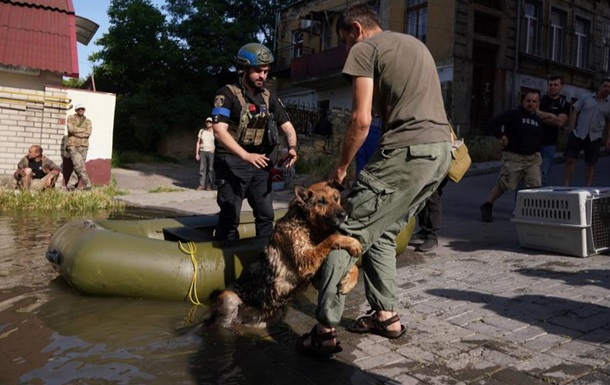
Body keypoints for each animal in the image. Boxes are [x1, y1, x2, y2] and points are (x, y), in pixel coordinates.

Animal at [209, 180, 360, 328]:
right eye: (321, 202)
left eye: (336, 198)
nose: (343, 214)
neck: (306, 223)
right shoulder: (305, 261)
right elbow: (331, 238)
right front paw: (353, 243)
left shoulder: (316, 276)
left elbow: (354, 267)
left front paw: (348, 282)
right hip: (229, 299)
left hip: (270, 318)